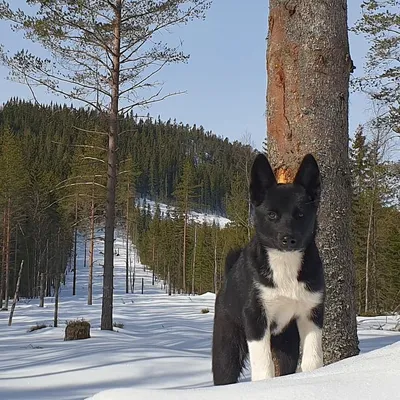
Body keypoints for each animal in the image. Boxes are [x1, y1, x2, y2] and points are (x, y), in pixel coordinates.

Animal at [212, 152, 324, 384]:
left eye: (300, 214)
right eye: (272, 215)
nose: (288, 239)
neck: (284, 265)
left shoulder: (312, 313)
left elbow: (313, 361)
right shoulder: (255, 318)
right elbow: (264, 368)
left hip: (287, 341)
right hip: (226, 347)